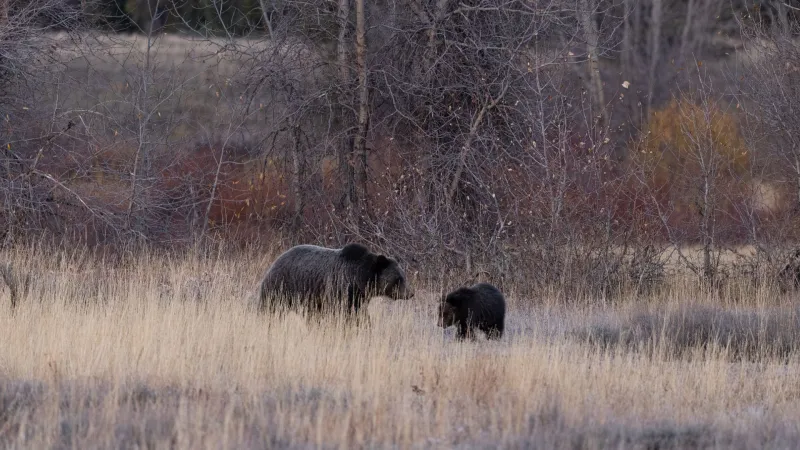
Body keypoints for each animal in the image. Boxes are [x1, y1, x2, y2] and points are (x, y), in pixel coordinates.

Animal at [258, 243, 414, 321]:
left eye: (404, 276)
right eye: (398, 279)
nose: (410, 293)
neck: (359, 278)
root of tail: (275, 261)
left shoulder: (359, 298)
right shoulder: (340, 290)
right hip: (282, 287)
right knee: (271, 308)